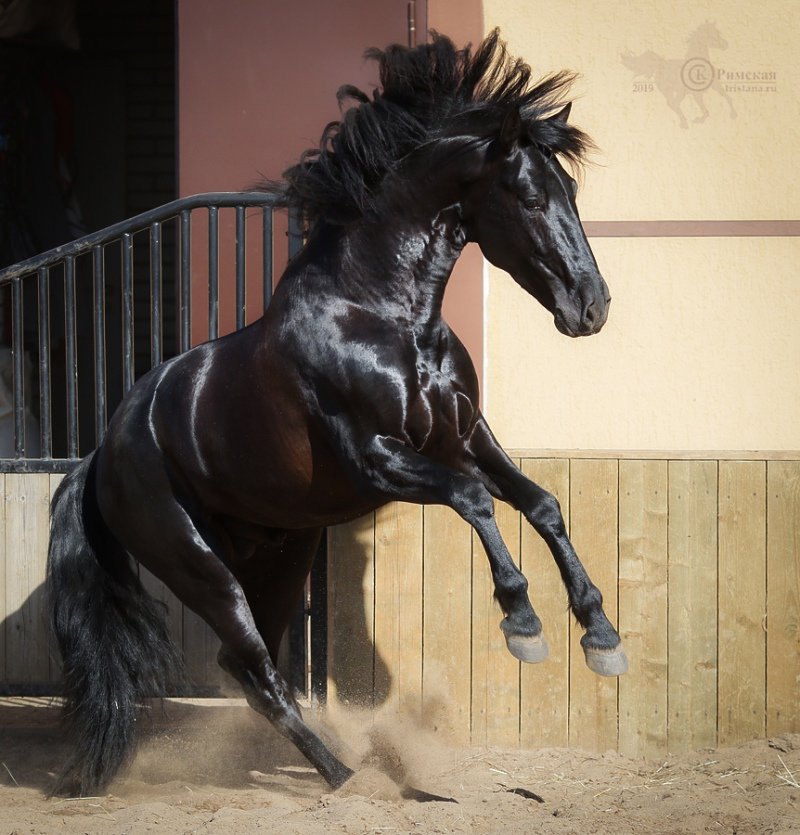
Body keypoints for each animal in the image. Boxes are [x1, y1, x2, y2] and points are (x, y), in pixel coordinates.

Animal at [47, 32, 628, 800]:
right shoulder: (377, 458)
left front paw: (600, 635)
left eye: (571, 193)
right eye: (531, 197)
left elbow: (540, 501)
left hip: (282, 553)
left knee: (248, 668)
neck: (383, 315)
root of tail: (99, 456)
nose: (592, 307)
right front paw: (523, 623)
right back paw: (349, 776)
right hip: (201, 567)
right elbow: (475, 499)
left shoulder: (465, 434)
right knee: (259, 674)